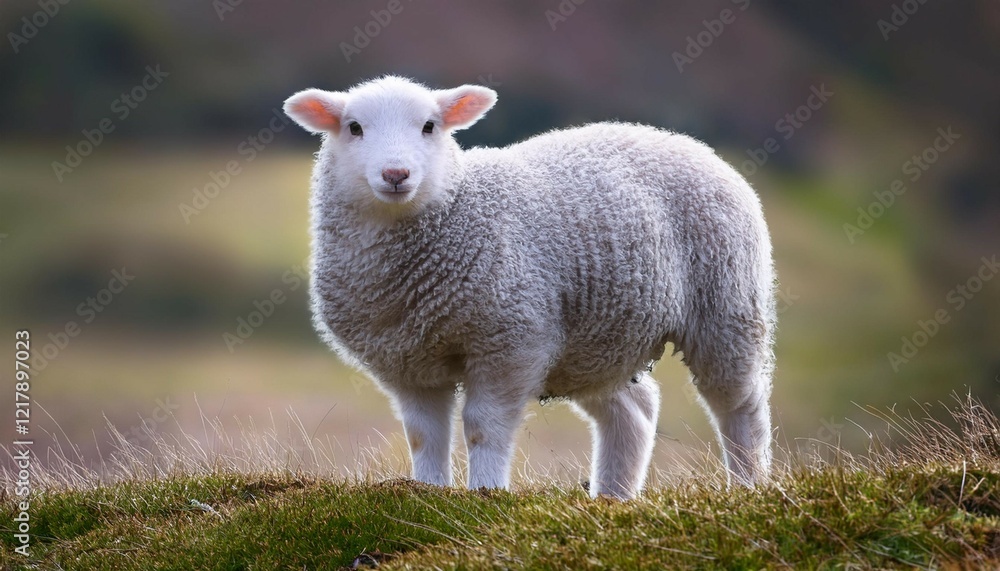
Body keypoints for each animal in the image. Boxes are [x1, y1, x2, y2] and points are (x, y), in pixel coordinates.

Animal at [283, 75, 776, 499]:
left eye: (429, 126)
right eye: (354, 128)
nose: (396, 174)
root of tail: (680, 139)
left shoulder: (511, 338)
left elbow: (483, 425)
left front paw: (485, 493)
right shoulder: (409, 360)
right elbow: (424, 435)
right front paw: (428, 491)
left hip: (728, 304)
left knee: (740, 405)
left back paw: (748, 486)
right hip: (597, 339)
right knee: (634, 410)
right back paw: (613, 497)